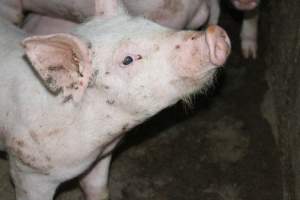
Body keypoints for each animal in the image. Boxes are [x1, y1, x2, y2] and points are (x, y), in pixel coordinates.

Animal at [0, 0, 232, 199]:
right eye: (128, 59)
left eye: (152, 24)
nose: (214, 32)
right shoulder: (28, 170)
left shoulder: (101, 157)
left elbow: (97, 189)